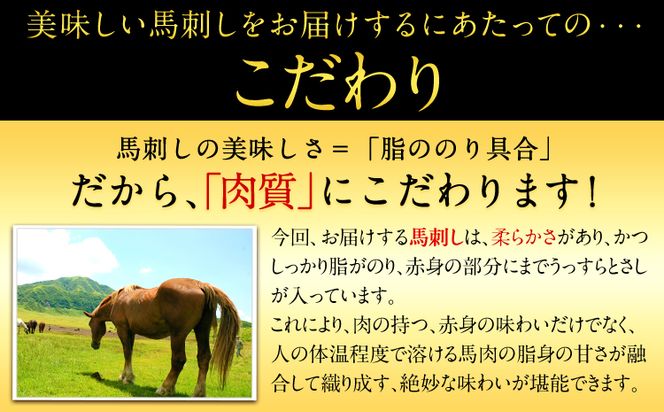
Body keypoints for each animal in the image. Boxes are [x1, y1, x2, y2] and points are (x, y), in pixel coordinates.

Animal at [84, 278, 240, 397]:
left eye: (91, 324)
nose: (94, 345)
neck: (118, 301)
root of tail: (200, 285)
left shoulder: (123, 330)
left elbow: (127, 352)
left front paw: (127, 378)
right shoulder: (131, 332)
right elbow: (130, 353)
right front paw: (124, 376)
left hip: (178, 335)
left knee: (178, 361)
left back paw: (164, 388)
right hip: (201, 330)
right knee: (203, 358)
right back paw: (198, 392)